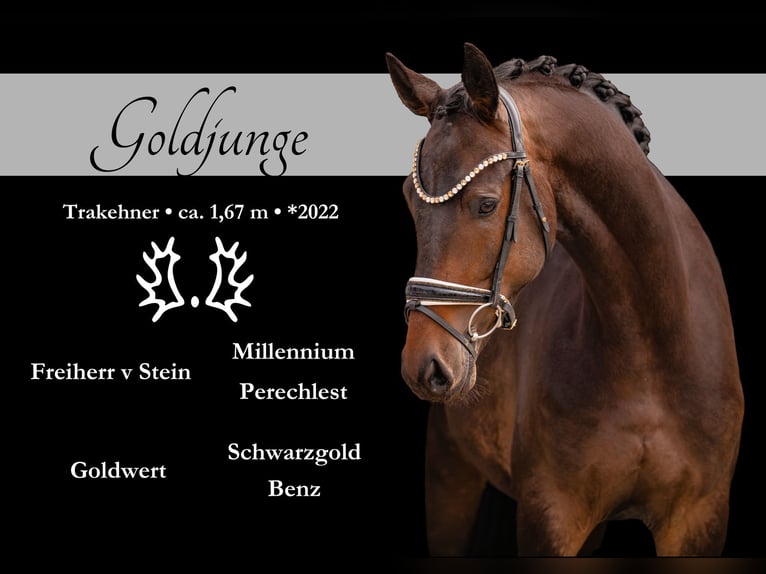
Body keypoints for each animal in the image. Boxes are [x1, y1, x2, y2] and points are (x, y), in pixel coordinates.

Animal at [386, 43, 744, 556]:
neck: (651, 350)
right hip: (450, 475)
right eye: (408, 200)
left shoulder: (699, 522)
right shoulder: (551, 517)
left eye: (486, 204)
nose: (423, 365)